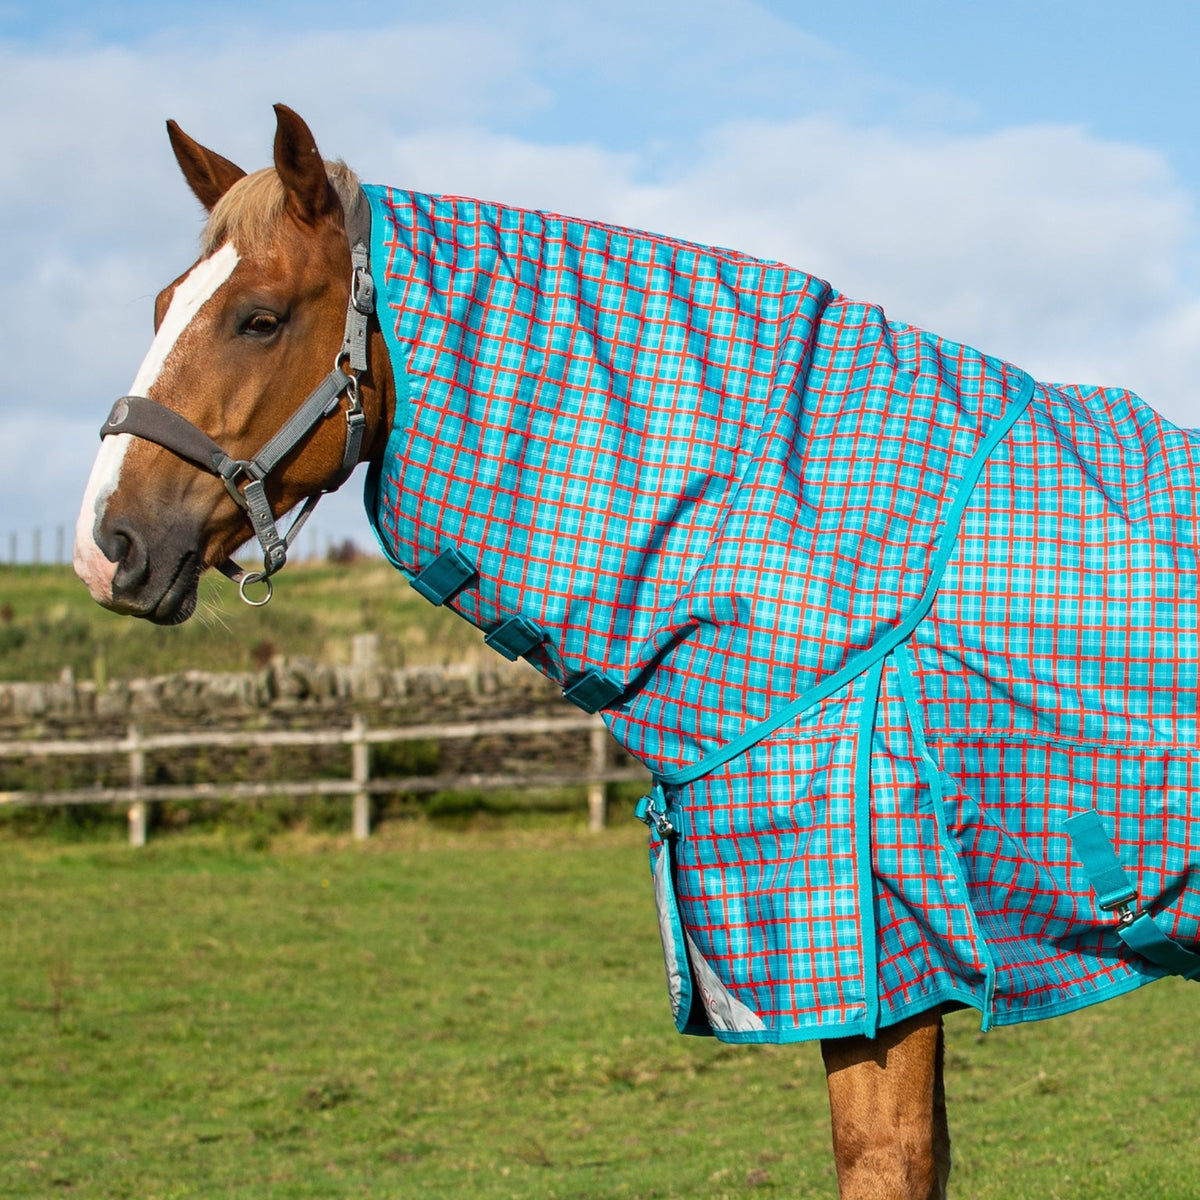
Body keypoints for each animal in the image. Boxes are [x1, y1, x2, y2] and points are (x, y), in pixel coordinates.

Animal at [74, 105, 1200, 1199]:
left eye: (259, 318)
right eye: (163, 305)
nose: (106, 545)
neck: (795, 545)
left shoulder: (876, 967)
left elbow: (886, 1162)